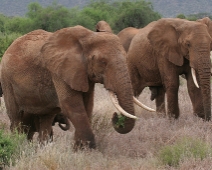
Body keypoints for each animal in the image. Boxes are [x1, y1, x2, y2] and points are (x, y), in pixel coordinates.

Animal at [0, 25, 151, 149]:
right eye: (103, 62)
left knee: (46, 118)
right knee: (16, 117)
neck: (87, 37)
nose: (115, 116)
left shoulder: (83, 73)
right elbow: (72, 105)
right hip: (6, 81)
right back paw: (17, 144)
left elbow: (87, 106)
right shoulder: (59, 71)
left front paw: (78, 149)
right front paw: (88, 148)